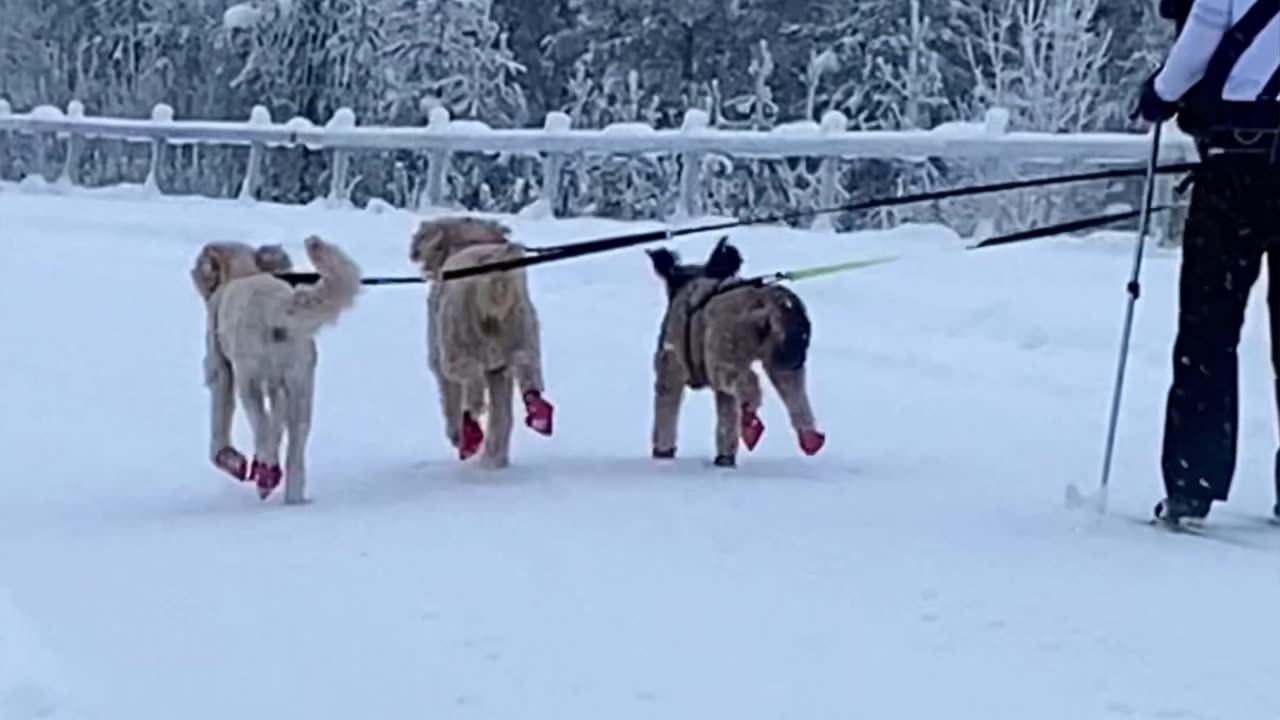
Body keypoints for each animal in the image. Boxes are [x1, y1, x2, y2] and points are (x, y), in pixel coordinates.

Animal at [189, 238, 360, 502]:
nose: (193, 272)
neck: (243, 272)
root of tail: (279, 306)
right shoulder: (280, 387)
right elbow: (277, 425)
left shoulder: (221, 371)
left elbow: (220, 435)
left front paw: (232, 461)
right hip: (300, 385)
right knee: (294, 448)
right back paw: (289, 495)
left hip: (249, 380)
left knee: (261, 426)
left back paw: (266, 473)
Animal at [407, 215, 552, 468]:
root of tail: (493, 271)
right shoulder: (499, 372)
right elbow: (502, 415)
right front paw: (496, 458)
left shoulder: (440, 362)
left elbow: (450, 399)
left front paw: (458, 436)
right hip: (523, 333)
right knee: (527, 371)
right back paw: (537, 414)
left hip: (455, 345)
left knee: (472, 381)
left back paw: (470, 431)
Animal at [645, 237, 824, 466]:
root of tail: (769, 301)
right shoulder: (722, 393)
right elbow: (726, 422)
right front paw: (725, 458)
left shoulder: (670, 370)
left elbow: (665, 414)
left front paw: (662, 452)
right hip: (785, 360)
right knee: (795, 396)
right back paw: (810, 438)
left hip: (724, 352)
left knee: (749, 383)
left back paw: (750, 424)